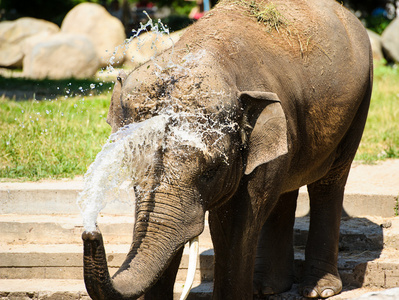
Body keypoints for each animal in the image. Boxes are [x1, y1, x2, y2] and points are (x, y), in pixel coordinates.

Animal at [83, 0, 374, 298]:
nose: (90, 232)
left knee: (329, 183)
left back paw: (319, 290)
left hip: (362, 96)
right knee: (284, 188)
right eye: (131, 172)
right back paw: (267, 288)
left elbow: (234, 223)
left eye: (209, 172)